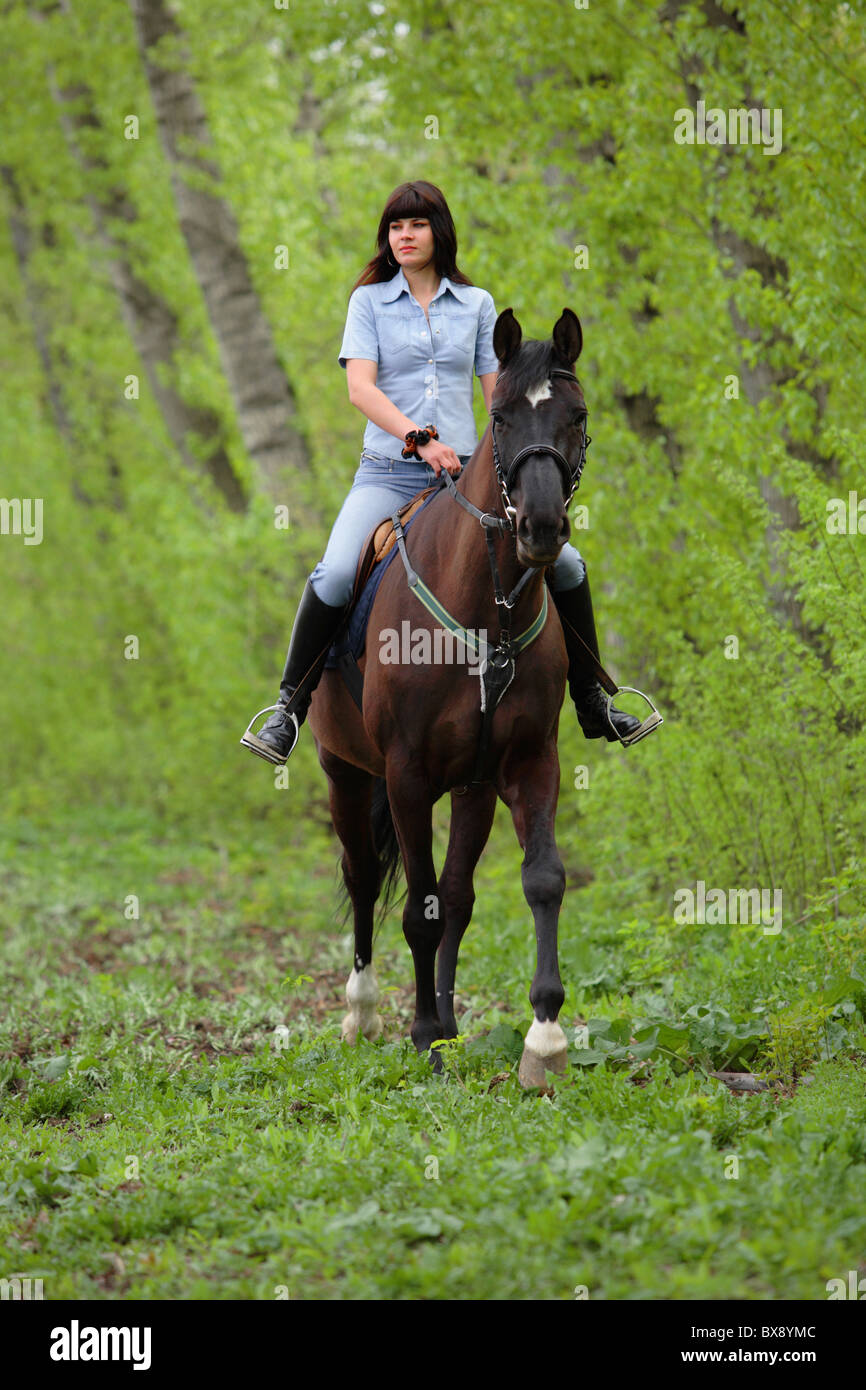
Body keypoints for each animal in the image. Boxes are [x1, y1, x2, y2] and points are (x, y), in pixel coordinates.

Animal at [309, 307, 589, 1084]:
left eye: (578, 416)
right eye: (501, 416)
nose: (540, 528)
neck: (486, 609)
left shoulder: (528, 763)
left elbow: (539, 880)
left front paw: (543, 1040)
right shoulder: (405, 774)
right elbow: (418, 910)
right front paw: (424, 1034)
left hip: (470, 787)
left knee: (458, 896)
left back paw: (452, 1022)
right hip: (347, 774)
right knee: (365, 878)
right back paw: (365, 1013)